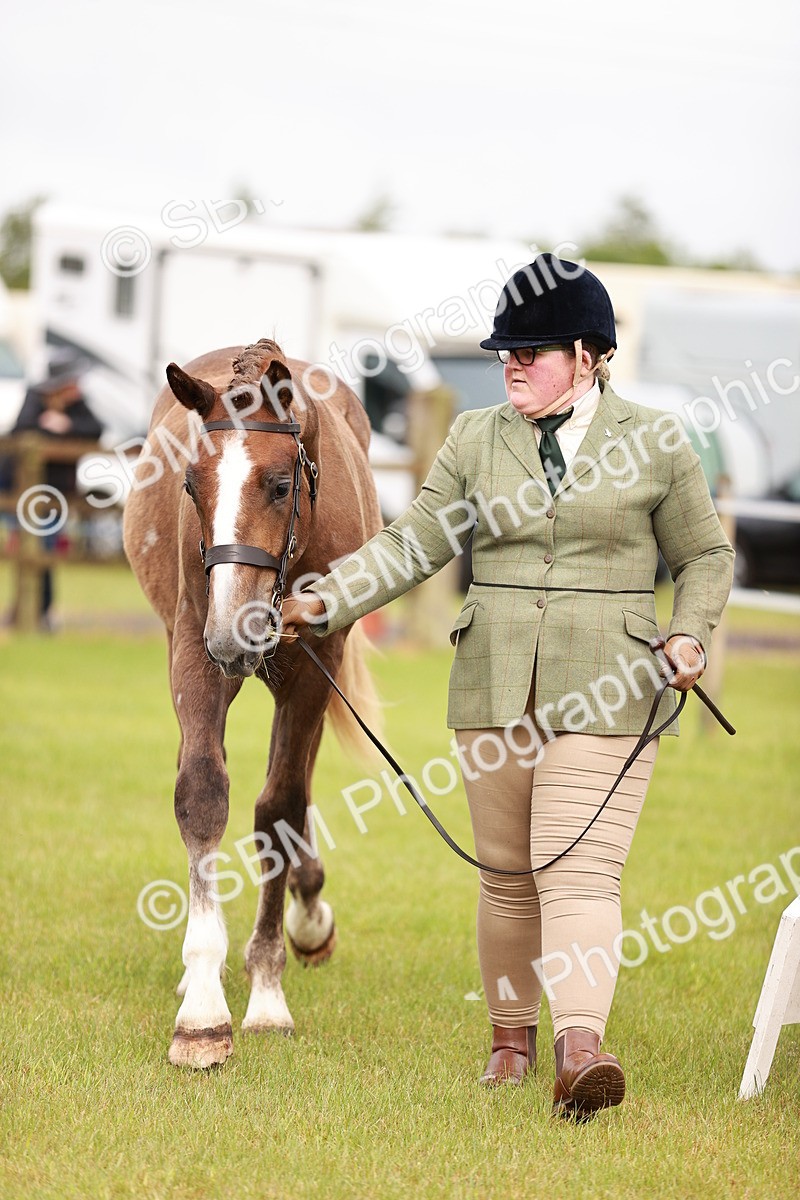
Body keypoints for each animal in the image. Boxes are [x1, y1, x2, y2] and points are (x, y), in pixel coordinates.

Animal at [123, 338, 383, 1069]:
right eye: (191, 485)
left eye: (279, 485)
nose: (234, 633)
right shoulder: (194, 647)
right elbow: (202, 792)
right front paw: (202, 1013)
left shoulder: (312, 671)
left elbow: (279, 811)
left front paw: (267, 992)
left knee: (297, 784)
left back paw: (309, 914)